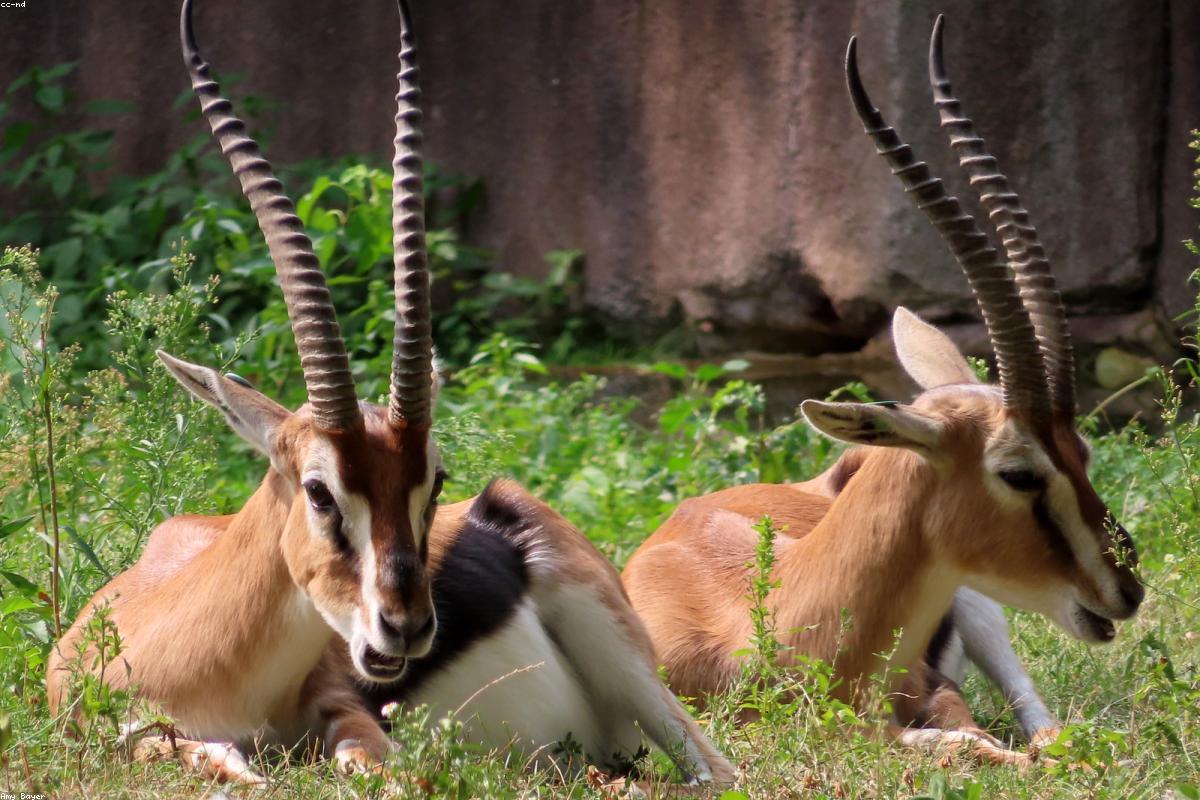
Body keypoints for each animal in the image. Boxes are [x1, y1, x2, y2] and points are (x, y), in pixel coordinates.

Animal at [46, 0, 733, 787]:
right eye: (318, 490)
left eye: (436, 479)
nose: (405, 628)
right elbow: (203, 757)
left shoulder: (354, 715)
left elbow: (363, 768)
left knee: (718, 774)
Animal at [622, 17, 1144, 766]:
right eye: (1018, 473)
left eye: (1084, 453)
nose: (1126, 588)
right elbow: (958, 745)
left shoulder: (933, 689)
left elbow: (972, 737)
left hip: (983, 613)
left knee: (1040, 720)